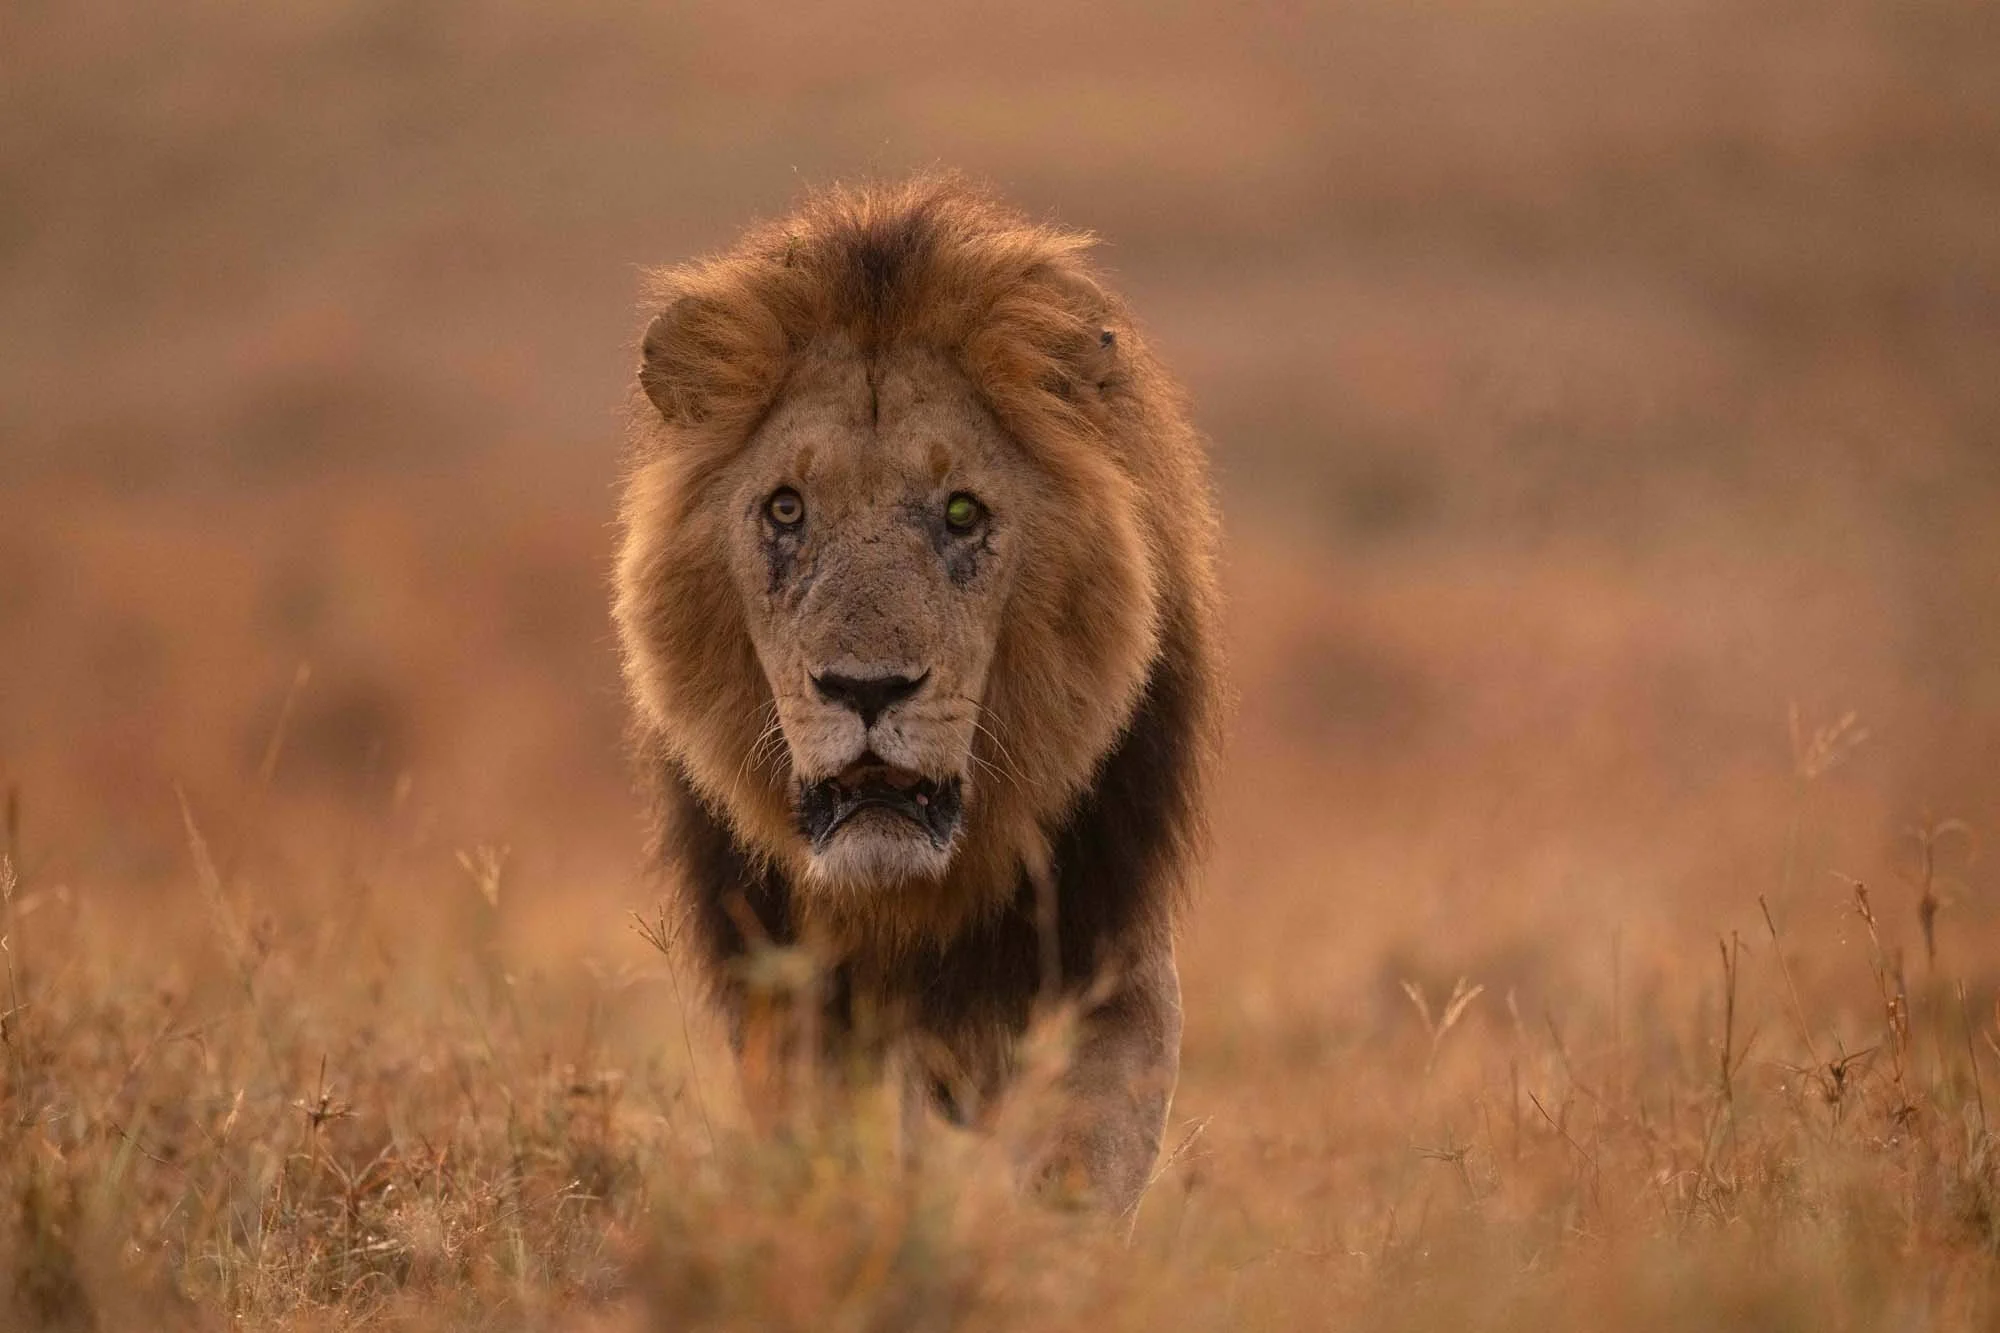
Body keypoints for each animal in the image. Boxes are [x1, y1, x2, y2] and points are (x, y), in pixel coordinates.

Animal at [612, 176, 1222, 1212]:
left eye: (962, 512)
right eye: (786, 509)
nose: (866, 689)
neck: (915, 898)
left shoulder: (1114, 965)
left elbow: (1077, 1168)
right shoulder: (801, 1003)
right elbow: (847, 1149)